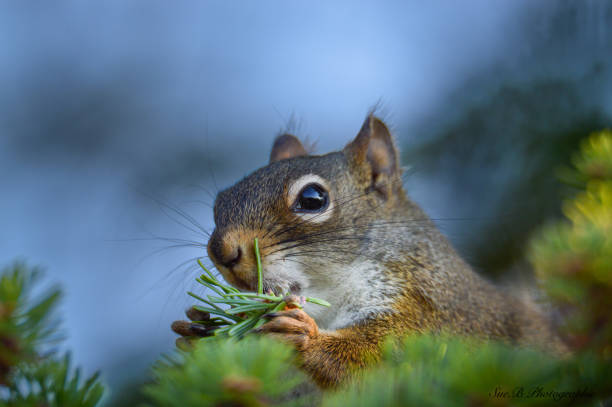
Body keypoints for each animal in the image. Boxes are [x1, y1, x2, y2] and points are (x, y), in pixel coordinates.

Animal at [170, 114, 568, 388]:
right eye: (220, 202)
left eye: (312, 199)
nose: (223, 251)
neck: (329, 295)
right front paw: (196, 332)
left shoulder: (426, 310)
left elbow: (383, 355)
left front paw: (305, 336)